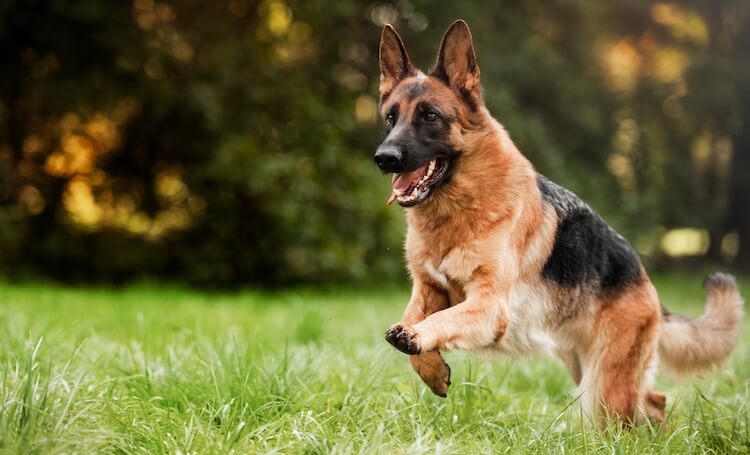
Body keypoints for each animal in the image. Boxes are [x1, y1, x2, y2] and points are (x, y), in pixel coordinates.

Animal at [376, 19, 748, 426]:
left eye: (429, 116)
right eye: (391, 118)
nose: (384, 158)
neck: (457, 211)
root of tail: (645, 279)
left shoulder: (489, 307)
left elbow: (439, 322)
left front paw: (417, 339)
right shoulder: (428, 290)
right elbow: (412, 323)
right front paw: (430, 367)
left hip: (604, 384)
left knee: (634, 410)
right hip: (584, 365)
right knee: (653, 399)